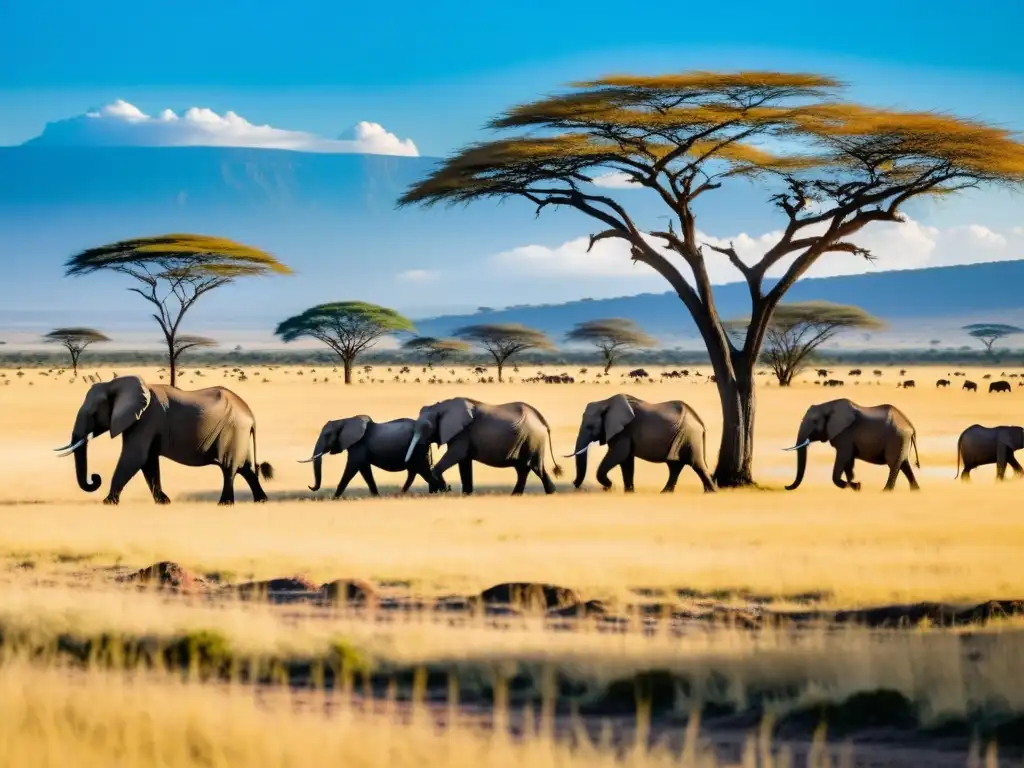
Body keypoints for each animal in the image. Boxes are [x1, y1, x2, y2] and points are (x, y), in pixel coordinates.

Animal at [54, 376, 272, 507]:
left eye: (93, 414)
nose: (95, 478)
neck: (116, 384)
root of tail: (250, 415)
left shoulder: (146, 419)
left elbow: (135, 458)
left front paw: (108, 502)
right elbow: (148, 462)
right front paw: (164, 502)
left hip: (232, 431)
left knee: (229, 468)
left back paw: (225, 504)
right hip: (239, 433)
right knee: (247, 469)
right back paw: (261, 501)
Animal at [296, 415, 448, 499]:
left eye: (327, 435)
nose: (310, 486)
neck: (344, 420)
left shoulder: (358, 445)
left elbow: (352, 468)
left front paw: (334, 498)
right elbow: (365, 471)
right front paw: (376, 496)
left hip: (417, 449)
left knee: (422, 470)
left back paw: (440, 492)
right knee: (416, 471)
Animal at [401, 399, 565, 495]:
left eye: (427, 427)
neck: (441, 406)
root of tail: (542, 420)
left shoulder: (462, 433)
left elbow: (456, 455)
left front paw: (439, 489)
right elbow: (464, 463)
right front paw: (466, 495)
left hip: (533, 439)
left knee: (535, 467)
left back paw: (550, 493)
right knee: (523, 469)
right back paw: (518, 494)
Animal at [565, 393, 716, 495]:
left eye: (590, 427)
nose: (574, 484)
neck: (605, 402)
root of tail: (700, 422)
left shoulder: (624, 431)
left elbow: (619, 455)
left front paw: (610, 486)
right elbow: (626, 461)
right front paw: (629, 493)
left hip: (690, 436)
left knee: (696, 464)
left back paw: (711, 493)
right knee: (675, 466)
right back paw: (665, 493)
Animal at [782, 397, 921, 493]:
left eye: (815, 421)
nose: (785, 486)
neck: (828, 406)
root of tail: (910, 425)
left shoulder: (845, 434)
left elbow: (843, 457)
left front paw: (855, 486)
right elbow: (849, 462)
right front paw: (854, 486)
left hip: (897, 438)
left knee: (894, 465)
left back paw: (885, 492)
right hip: (902, 440)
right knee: (904, 465)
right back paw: (915, 491)